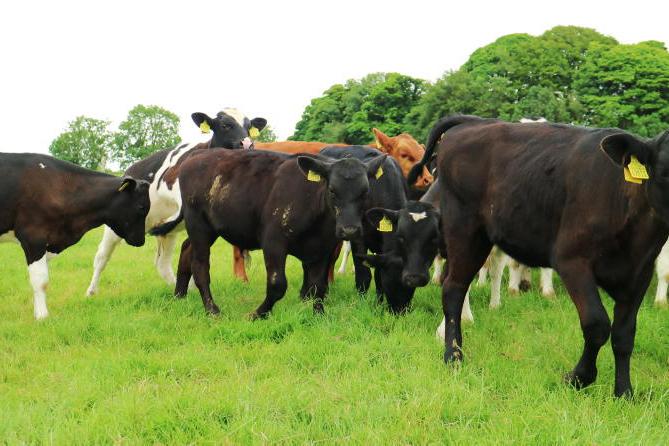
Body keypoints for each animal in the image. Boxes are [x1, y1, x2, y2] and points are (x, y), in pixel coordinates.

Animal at [0, 153, 150, 319]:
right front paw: (42, 317)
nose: (141, 240)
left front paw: (37, 312)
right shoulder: (33, 237)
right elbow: (40, 279)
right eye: (141, 207)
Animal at [85, 109, 266, 297]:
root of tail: (130, 170)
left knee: (162, 263)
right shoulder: (168, 187)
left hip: (168, 236)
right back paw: (91, 292)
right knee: (102, 256)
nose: (247, 144)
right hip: (115, 227)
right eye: (225, 125)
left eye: (249, 127)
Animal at [150, 149, 386, 317]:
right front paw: (258, 313)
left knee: (186, 251)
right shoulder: (273, 242)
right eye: (332, 190)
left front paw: (319, 314)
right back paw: (211, 309)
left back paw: (179, 295)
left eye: (365, 191)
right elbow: (277, 284)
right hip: (198, 224)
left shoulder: (322, 248)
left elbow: (317, 286)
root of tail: (195, 157)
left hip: (208, 228)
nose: (349, 230)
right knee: (200, 266)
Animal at [319, 145, 410, 312]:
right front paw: (361, 302)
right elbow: (364, 274)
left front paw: (379, 303)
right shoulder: (358, 237)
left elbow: (378, 275)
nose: (400, 311)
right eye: (392, 282)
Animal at [408, 114, 669, 397]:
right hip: (464, 229)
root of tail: (474, 122)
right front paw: (578, 378)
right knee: (453, 288)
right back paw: (453, 356)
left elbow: (624, 335)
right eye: (665, 171)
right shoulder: (571, 260)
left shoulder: (639, 273)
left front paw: (624, 392)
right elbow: (597, 324)